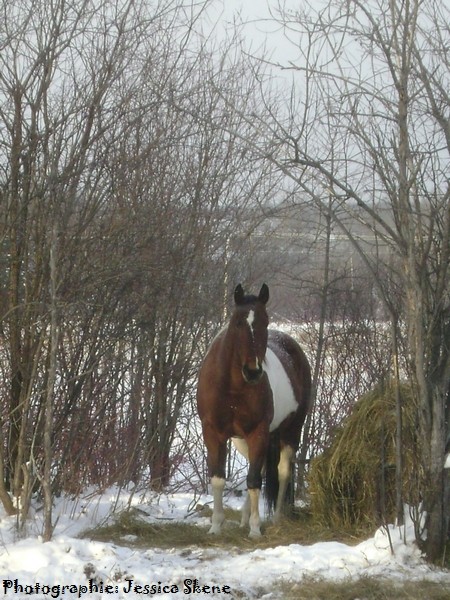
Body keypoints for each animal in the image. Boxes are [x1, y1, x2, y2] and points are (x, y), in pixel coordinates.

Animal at [195, 284, 312, 536]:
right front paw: (216, 526)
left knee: (282, 471)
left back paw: (275, 519)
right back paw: (243, 519)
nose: (253, 371)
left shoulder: (258, 431)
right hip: (243, 440)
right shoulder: (212, 432)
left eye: (265, 322)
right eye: (238, 322)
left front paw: (256, 529)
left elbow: (254, 480)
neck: (232, 387)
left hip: (291, 431)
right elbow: (218, 478)